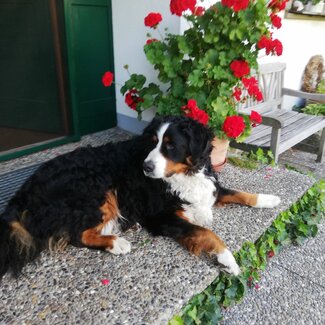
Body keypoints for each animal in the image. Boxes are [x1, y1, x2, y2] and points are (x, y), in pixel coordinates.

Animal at [0, 114, 280, 278]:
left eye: (170, 145)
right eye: (152, 142)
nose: (146, 167)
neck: (183, 176)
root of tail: (24, 191)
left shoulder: (208, 186)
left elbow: (238, 193)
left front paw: (269, 199)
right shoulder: (161, 217)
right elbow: (206, 233)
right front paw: (227, 259)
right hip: (96, 190)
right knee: (77, 235)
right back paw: (116, 243)